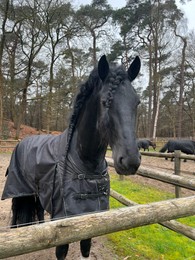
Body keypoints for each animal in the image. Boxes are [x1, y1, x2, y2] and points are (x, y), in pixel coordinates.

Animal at [1, 54, 142, 258]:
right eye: (104, 102)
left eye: (136, 102)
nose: (130, 161)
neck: (83, 160)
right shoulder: (63, 224)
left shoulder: (91, 221)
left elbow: (85, 250)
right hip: (19, 190)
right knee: (15, 212)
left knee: (39, 211)